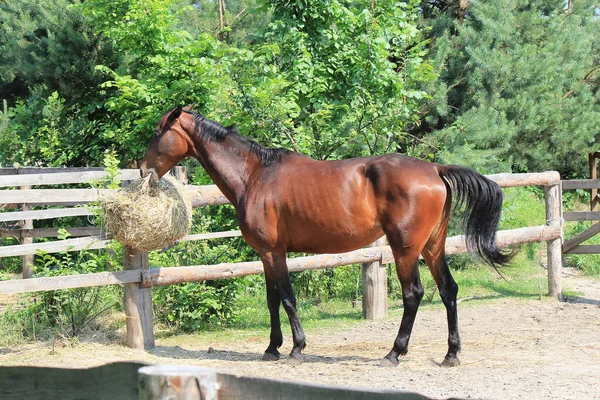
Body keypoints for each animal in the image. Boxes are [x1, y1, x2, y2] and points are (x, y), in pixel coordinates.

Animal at [139, 105, 510, 366]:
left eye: (158, 133)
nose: (143, 169)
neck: (255, 175)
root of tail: (434, 169)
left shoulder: (273, 251)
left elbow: (287, 298)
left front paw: (297, 348)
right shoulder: (266, 254)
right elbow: (273, 299)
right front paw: (272, 347)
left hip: (405, 249)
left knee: (413, 294)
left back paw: (394, 353)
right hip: (433, 247)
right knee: (449, 291)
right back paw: (451, 355)